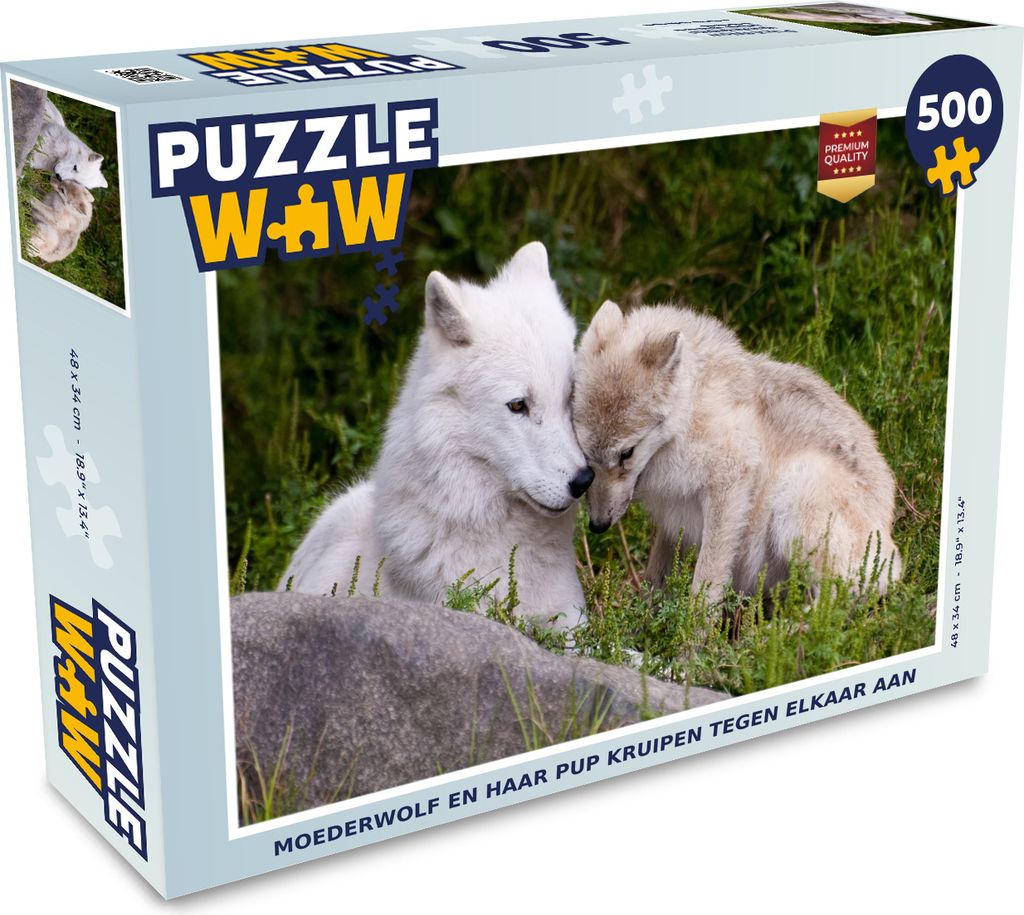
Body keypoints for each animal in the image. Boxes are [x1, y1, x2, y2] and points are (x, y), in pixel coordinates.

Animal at [572, 301, 901, 603]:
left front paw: (692, 629)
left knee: (834, 604)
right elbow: (658, 572)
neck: (691, 413)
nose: (597, 526)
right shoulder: (671, 517)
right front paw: (646, 613)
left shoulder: (729, 483)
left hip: (797, 492)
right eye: (585, 453)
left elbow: (705, 582)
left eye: (626, 453)